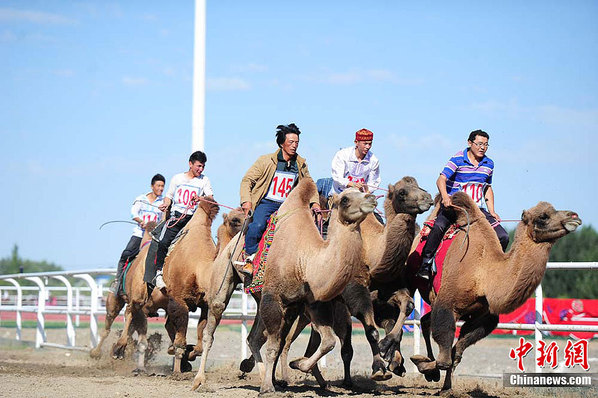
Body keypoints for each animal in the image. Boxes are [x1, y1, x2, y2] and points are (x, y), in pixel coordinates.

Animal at [410, 191, 584, 390]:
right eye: (543, 216)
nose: (574, 216)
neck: (483, 272)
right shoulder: (447, 303)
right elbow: (444, 358)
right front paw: (425, 366)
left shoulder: (483, 315)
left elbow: (457, 352)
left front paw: (446, 387)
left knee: (424, 321)